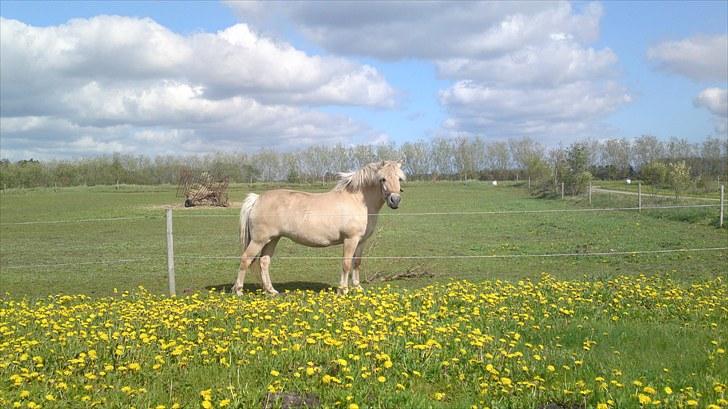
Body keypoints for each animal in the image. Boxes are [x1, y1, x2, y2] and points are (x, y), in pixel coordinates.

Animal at [232, 159, 404, 294]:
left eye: (400, 179)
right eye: (383, 179)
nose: (395, 200)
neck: (358, 201)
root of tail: (257, 199)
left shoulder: (361, 241)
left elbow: (356, 263)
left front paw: (358, 288)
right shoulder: (350, 239)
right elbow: (346, 263)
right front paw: (343, 290)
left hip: (272, 239)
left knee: (264, 262)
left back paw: (271, 291)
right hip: (259, 240)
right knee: (245, 259)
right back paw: (239, 291)